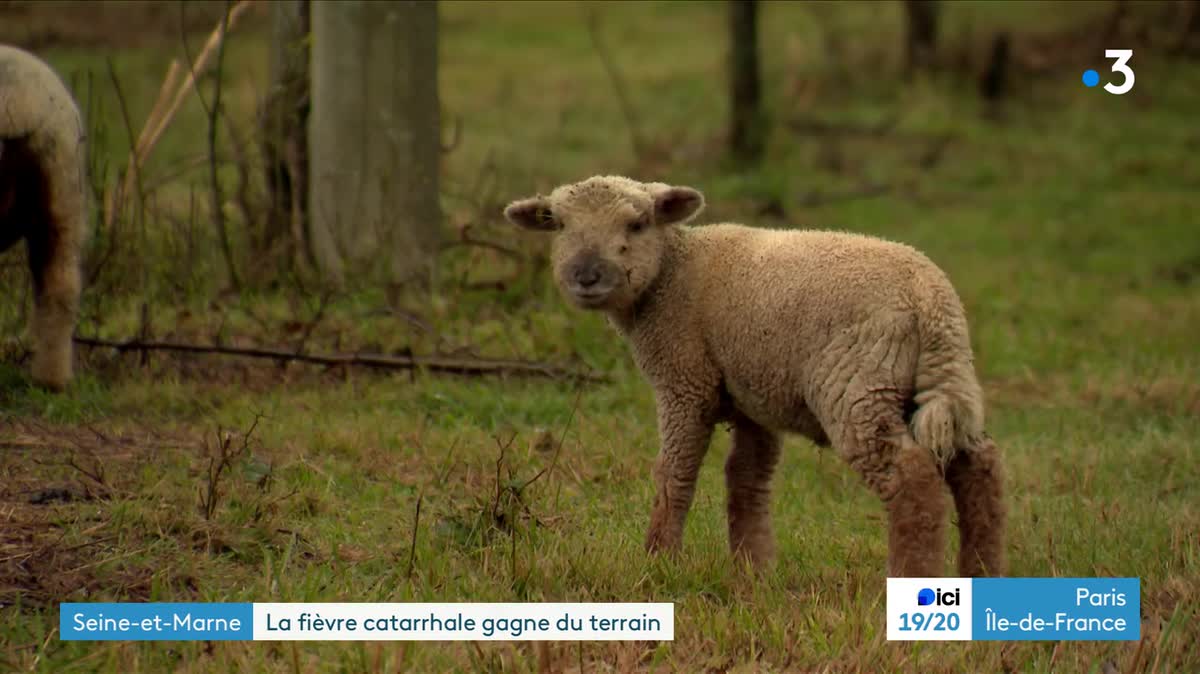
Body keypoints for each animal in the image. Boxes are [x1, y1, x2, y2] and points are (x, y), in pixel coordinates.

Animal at [501, 176, 1008, 575]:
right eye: (558, 225)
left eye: (637, 224)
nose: (587, 276)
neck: (671, 272)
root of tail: (931, 299)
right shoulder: (752, 393)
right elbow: (746, 478)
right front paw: (754, 571)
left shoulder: (685, 382)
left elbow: (675, 472)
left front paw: (659, 562)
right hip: (941, 381)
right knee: (978, 467)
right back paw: (982, 573)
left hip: (858, 384)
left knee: (912, 478)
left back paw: (912, 580)